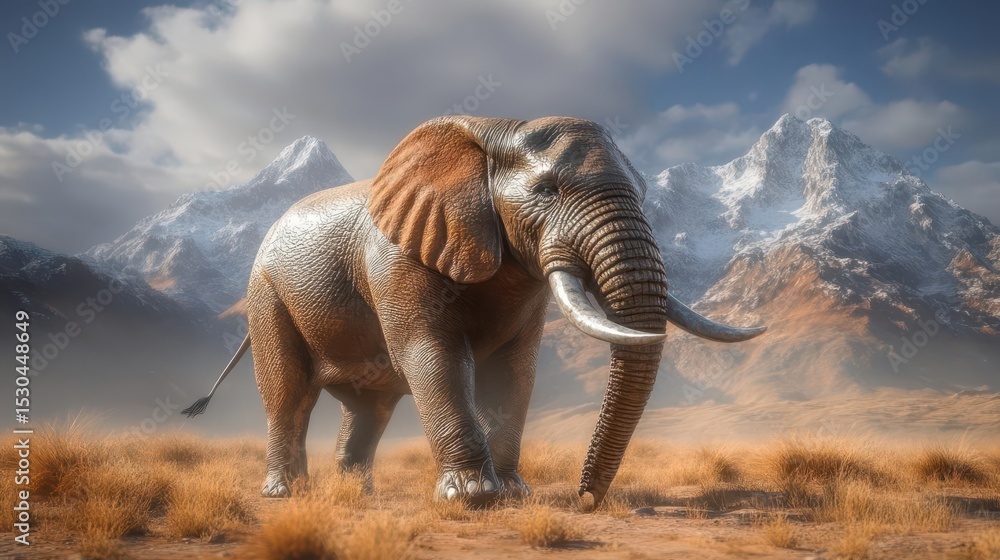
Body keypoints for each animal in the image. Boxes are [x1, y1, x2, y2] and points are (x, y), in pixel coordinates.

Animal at [183, 115, 765, 510]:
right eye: (547, 190)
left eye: (644, 193)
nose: (584, 499)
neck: (494, 134)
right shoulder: (397, 259)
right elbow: (433, 353)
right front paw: (473, 498)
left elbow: (514, 371)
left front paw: (512, 493)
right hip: (267, 296)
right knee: (290, 396)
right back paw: (287, 494)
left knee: (370, 409)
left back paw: (358, 495)